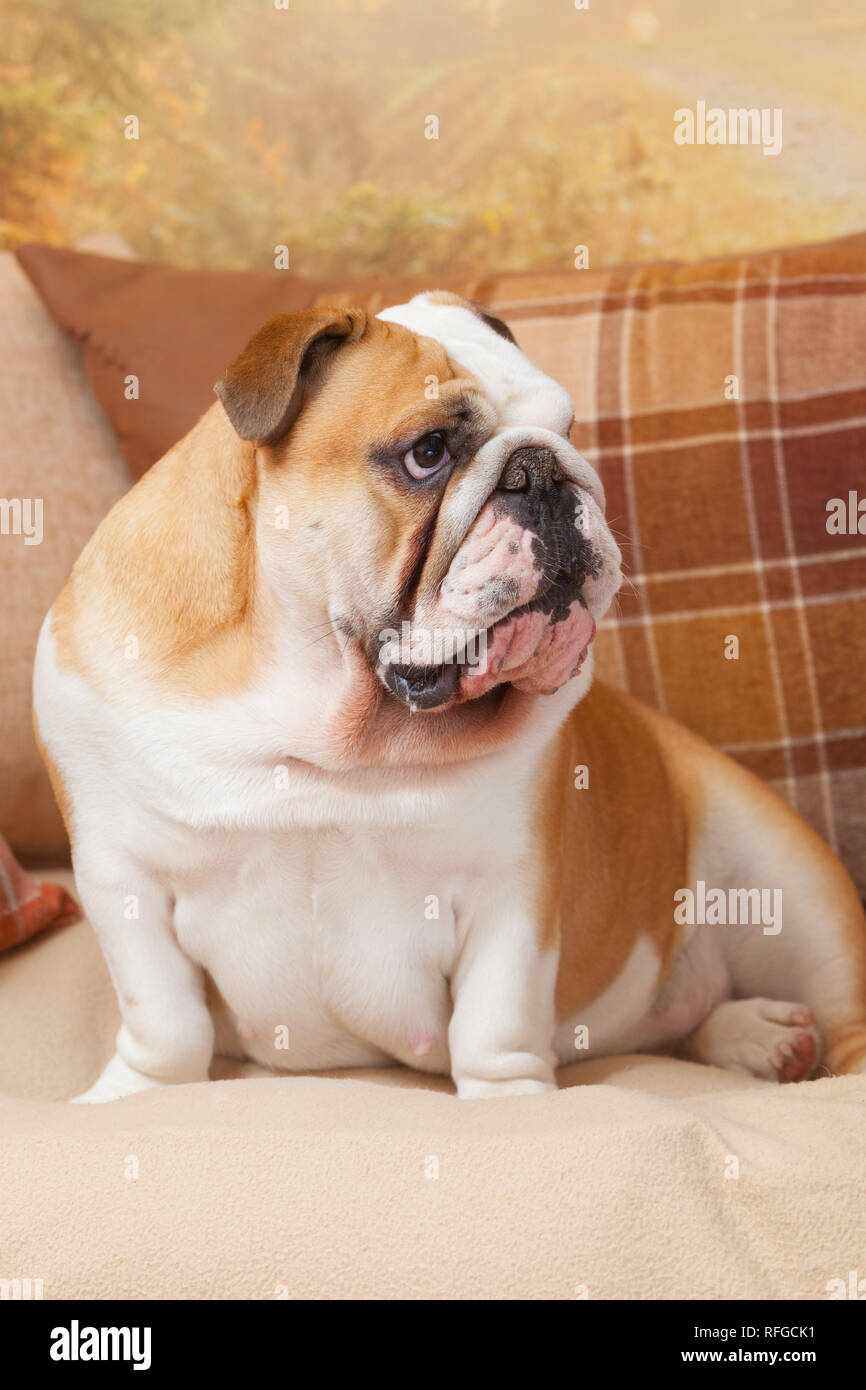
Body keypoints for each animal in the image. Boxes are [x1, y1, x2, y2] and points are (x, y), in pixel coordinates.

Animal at [35, 290, 866, 1095]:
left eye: (567, 427)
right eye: (428, 453)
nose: (544, 470)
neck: (326, 720)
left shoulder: (512, 889)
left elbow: (495, 1019)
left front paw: (507, 1101)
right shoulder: (121, 878)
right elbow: (164, 1016)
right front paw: (137, 1092)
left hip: (788, 882)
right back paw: (755, 1034)